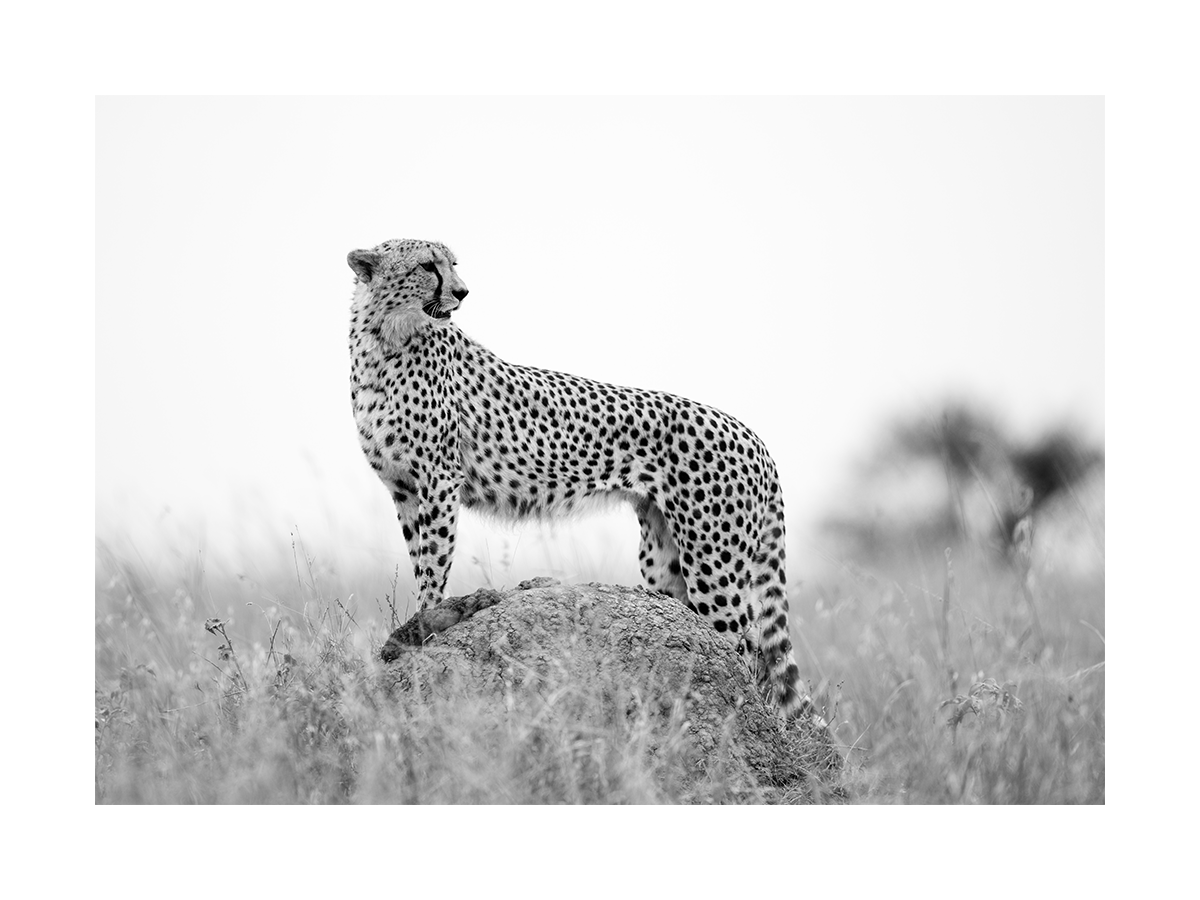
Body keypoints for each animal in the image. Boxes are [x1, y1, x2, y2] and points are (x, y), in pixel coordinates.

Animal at [350, 237, 811, 720]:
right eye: (427, 266)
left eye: (453, 264)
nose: (462, 291)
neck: (385, 337)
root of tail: (753, 435)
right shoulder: (404, 489)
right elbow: (420, 557)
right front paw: (418, 625)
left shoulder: (439, 480)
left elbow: (434, 563)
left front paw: (427, 623)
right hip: (665, 560)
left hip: (715, 565)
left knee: (748, 645)